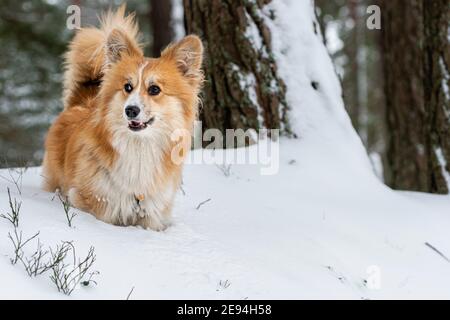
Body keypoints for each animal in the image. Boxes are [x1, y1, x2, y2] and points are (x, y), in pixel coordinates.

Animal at [42, 5, 204, 230]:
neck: (139, 147)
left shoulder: (152, 215)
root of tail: (80, 102)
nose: (130, 110)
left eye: (154, 89)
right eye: (128, 87)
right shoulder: (91, 202)